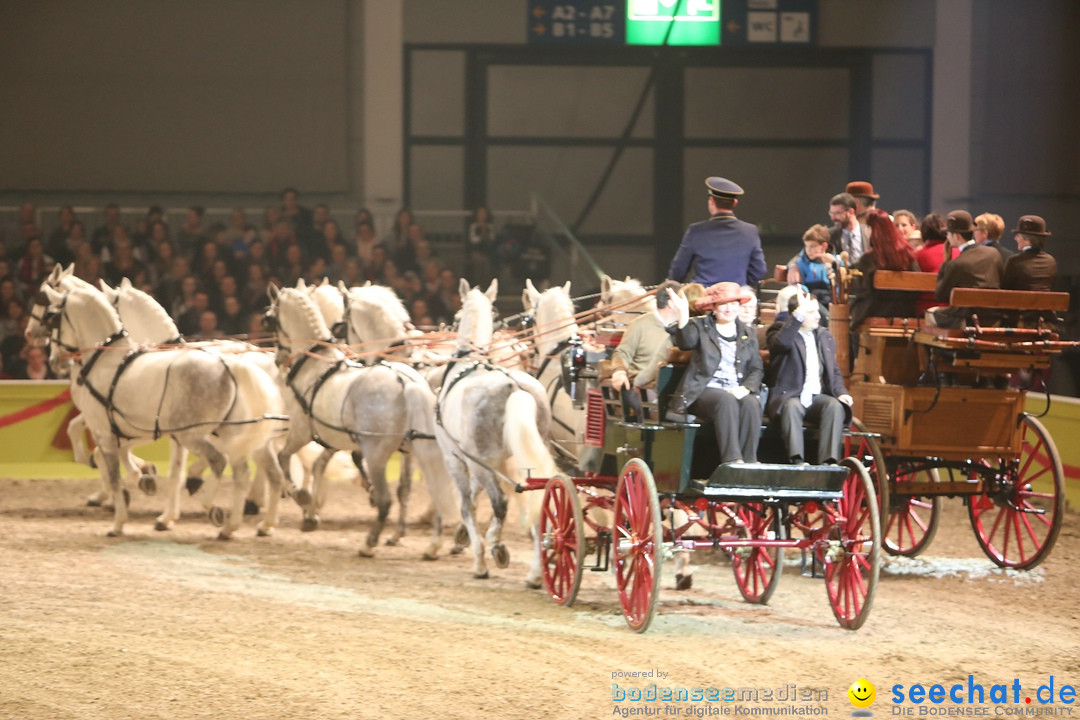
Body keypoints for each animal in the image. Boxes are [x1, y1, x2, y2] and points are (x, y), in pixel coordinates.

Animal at [39, 284, 287, 537]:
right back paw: (242, 523)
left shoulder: (106, 433)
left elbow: (115, 473)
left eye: (51, 319)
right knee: (255, 473)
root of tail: (231, 365)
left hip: (195, 435)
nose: (55, 361)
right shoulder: (136, 428)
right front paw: (146, 486)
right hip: (238, 435)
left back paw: (213, 505)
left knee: (221, 462)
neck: (106, 360)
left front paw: (120, 521)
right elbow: (152, 466)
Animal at [270, 284, 455, 561]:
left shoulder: (302, 431)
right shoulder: (337, 437)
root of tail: (405, 380)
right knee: (441, 487)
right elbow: (321, 465)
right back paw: (440, 542)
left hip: (380, 451)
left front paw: (302, 498)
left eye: (269, 319)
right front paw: (312, 513)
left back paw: (371, 542)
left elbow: (285, 458)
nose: (277, 359)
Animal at [434, 278, 557, 587]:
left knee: (499, 502)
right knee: (538, 505)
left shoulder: (456, 459)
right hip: (524, 462)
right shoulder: (498, 463)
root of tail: (513, 385)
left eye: (456, 316)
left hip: (481, 462)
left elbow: (468, 505)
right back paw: (535, 574)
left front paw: (480, 555)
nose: (447, 326)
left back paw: (495, 550)